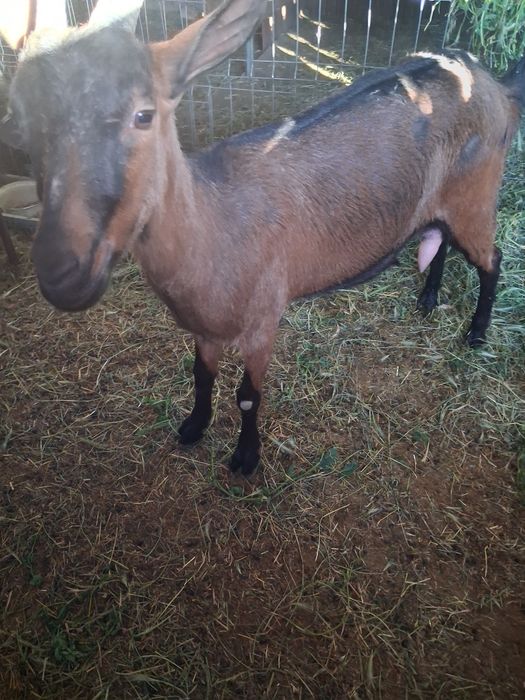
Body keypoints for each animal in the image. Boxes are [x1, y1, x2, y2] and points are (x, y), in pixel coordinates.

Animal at [1, 0, 524, 475]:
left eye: (144, 115)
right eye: (20, 117)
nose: (61, 272)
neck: (214, 227)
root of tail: (495, 84)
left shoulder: (262, 320)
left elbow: (248, 396)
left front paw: (245, 458)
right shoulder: (203, 327)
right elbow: (201, 376)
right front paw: (193, 427)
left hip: (478, 197)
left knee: (492, 259)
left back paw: (476, 332)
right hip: (447, 201)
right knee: (442, 239)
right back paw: (428, 298)